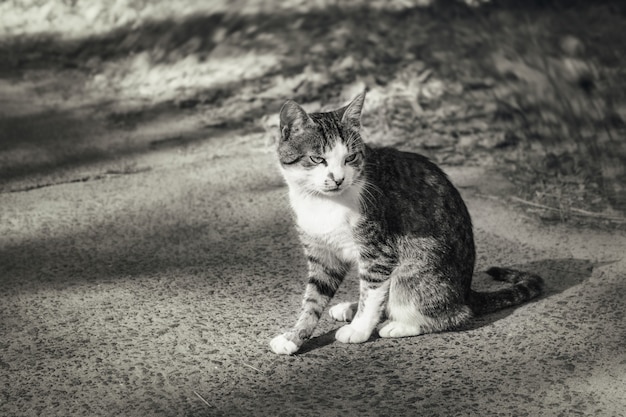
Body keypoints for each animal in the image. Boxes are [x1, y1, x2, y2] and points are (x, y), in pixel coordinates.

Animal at [268, 91, 540, 354]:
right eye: (317, 159)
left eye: (351, 157)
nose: (338, 179)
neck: (323, 203)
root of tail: (465, 292)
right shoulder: (322, 255)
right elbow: (313, 299)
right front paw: (295, 336)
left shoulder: (378, 251)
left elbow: (371, 292)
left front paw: (359, 329)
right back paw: (349, 308)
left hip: (414, 269)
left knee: (454, 313)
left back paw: (398, 325)